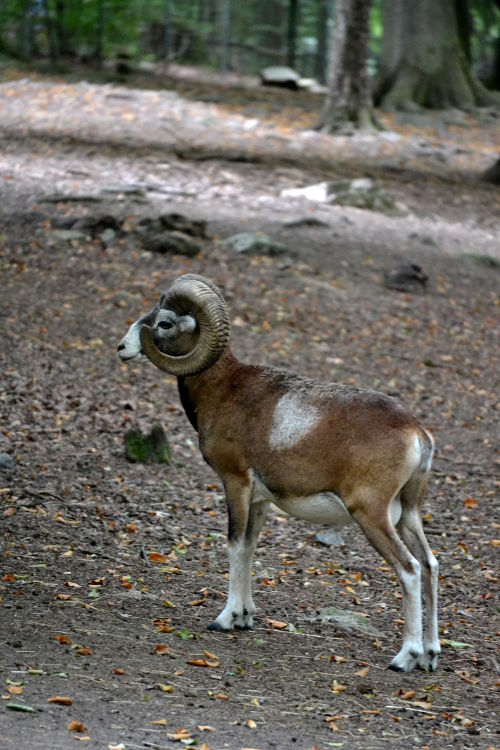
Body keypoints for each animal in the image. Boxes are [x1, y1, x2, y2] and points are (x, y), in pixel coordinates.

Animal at [117, 274, 438, 672]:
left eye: (164, 323)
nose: (123, 347)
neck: (222, 390)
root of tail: (417, 433)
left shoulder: (236, 483)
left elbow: (235, 545)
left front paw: (224, 620)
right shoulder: (260, 501)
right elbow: (250, 547)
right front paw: (245, 618)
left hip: (372, 515)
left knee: (409, 569)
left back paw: (404, 658)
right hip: (409, 514)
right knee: (430, 565)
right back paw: (430, 656)